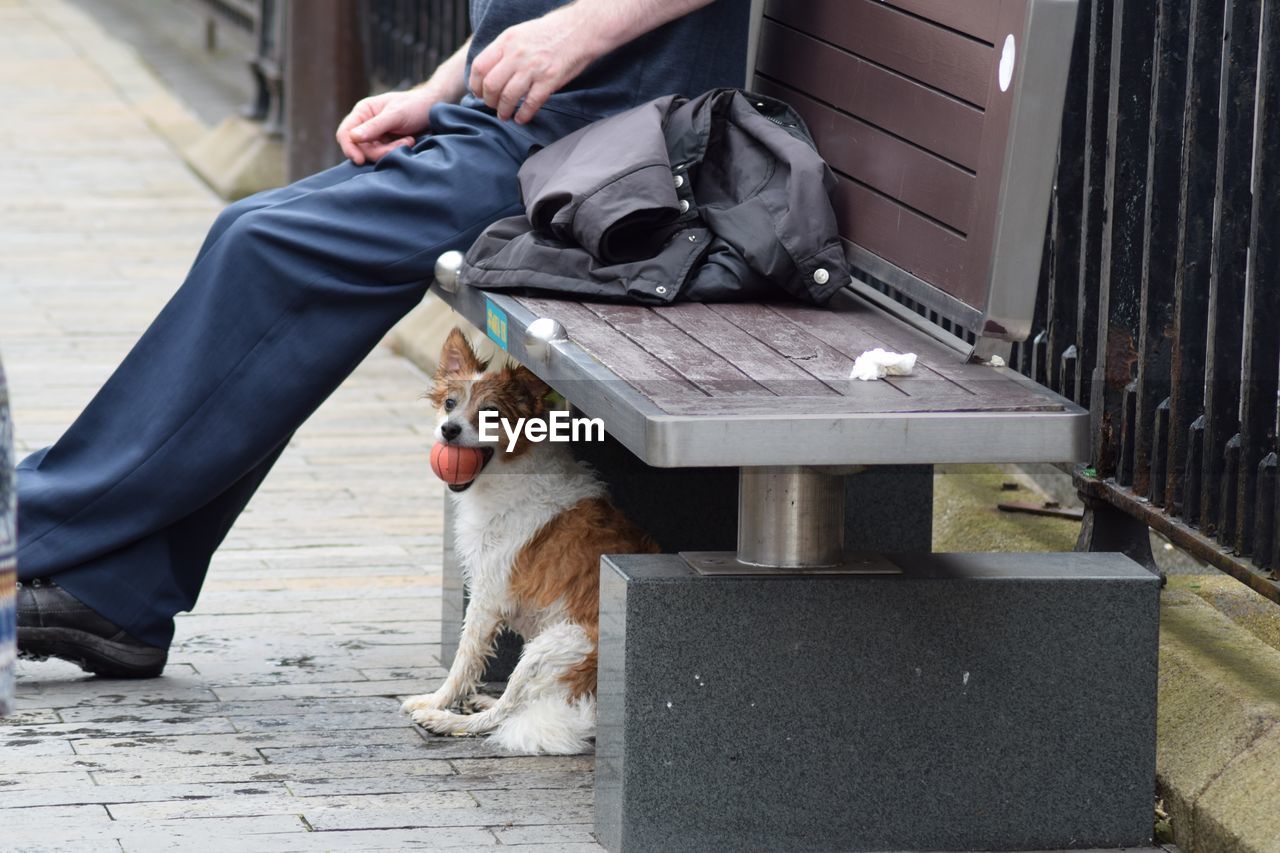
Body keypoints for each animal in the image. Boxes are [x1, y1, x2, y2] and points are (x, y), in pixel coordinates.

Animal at [401, 325, 660, 753]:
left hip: (552, 646)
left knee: (505, 714)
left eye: (491, 414)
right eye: (451, 403)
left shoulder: (487, 596)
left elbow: (463, 661)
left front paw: (436, 701)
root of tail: (590, 714)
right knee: (515, 704)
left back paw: (446, 720)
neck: (507, 471)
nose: (449, 429)